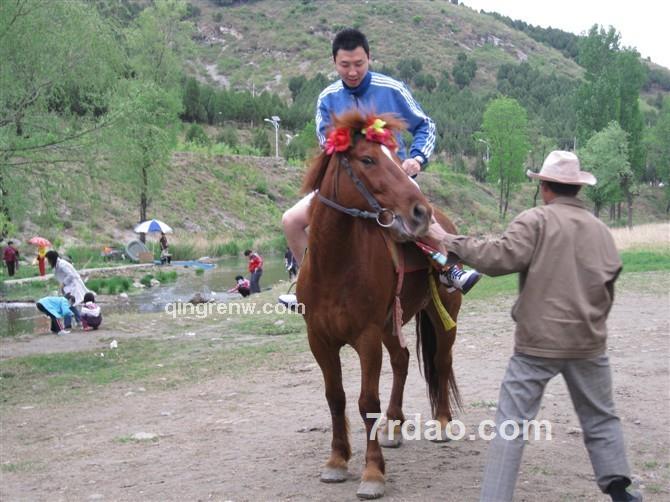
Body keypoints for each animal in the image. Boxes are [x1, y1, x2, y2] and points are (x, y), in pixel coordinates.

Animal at [300, 111, 462, 498]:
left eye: (395, 159)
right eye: (368, 159)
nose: (419, 211)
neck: (334, 266)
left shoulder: (367, 338)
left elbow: (366, 402)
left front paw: (373, 472)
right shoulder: (320, 340)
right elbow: (336, 397)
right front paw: (337, 460)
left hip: (442, 316)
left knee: (441, 362)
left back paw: (442, 423)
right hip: (392, 324)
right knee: (402, 361)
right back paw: (394, 425)